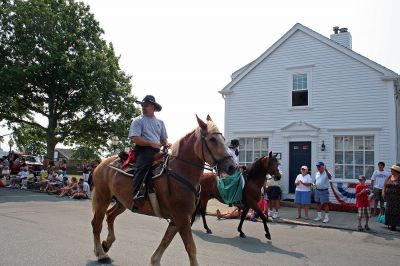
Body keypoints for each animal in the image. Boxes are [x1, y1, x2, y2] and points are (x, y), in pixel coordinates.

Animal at [90, 115, 236, 266]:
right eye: (212, 139)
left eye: (223, 139)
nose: (232, 167)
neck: (180, 171)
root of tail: (101, 164)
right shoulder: (182, 217)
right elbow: (190, 247)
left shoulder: (178, 219)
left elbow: (166, 241)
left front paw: (155, 260)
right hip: (103, 198)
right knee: (97, 224)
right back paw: (101, 254)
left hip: (122, 202)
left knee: (110, 216)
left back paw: (106, 244)